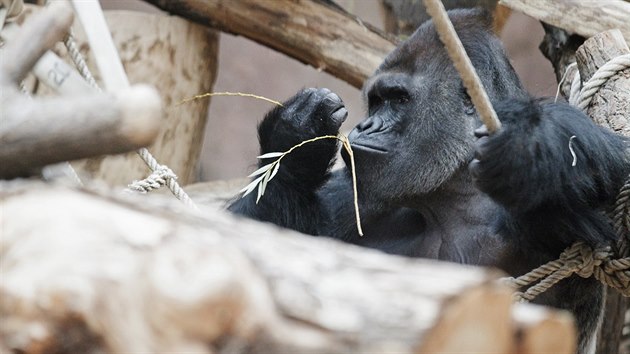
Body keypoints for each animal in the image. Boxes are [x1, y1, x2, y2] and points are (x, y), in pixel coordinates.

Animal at [231, 8, 630, 354]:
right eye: (376, 101)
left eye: (397, 99)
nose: (365, 126)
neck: (454, 199)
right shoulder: (357, 198)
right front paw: (294, 140)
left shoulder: (570, 128)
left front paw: (526, 152)